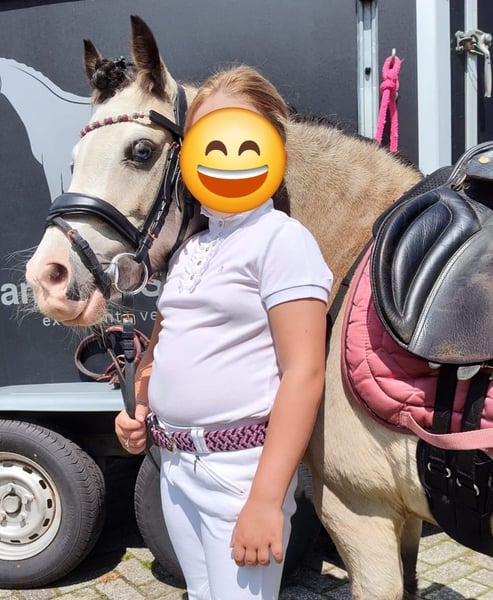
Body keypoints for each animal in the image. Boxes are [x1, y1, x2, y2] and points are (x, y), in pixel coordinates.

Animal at [25, 15, 492, 599]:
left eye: (141, 151)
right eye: (73, 161)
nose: (47, 277)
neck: (355, 254)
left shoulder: (361, 513)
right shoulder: (397, 520)